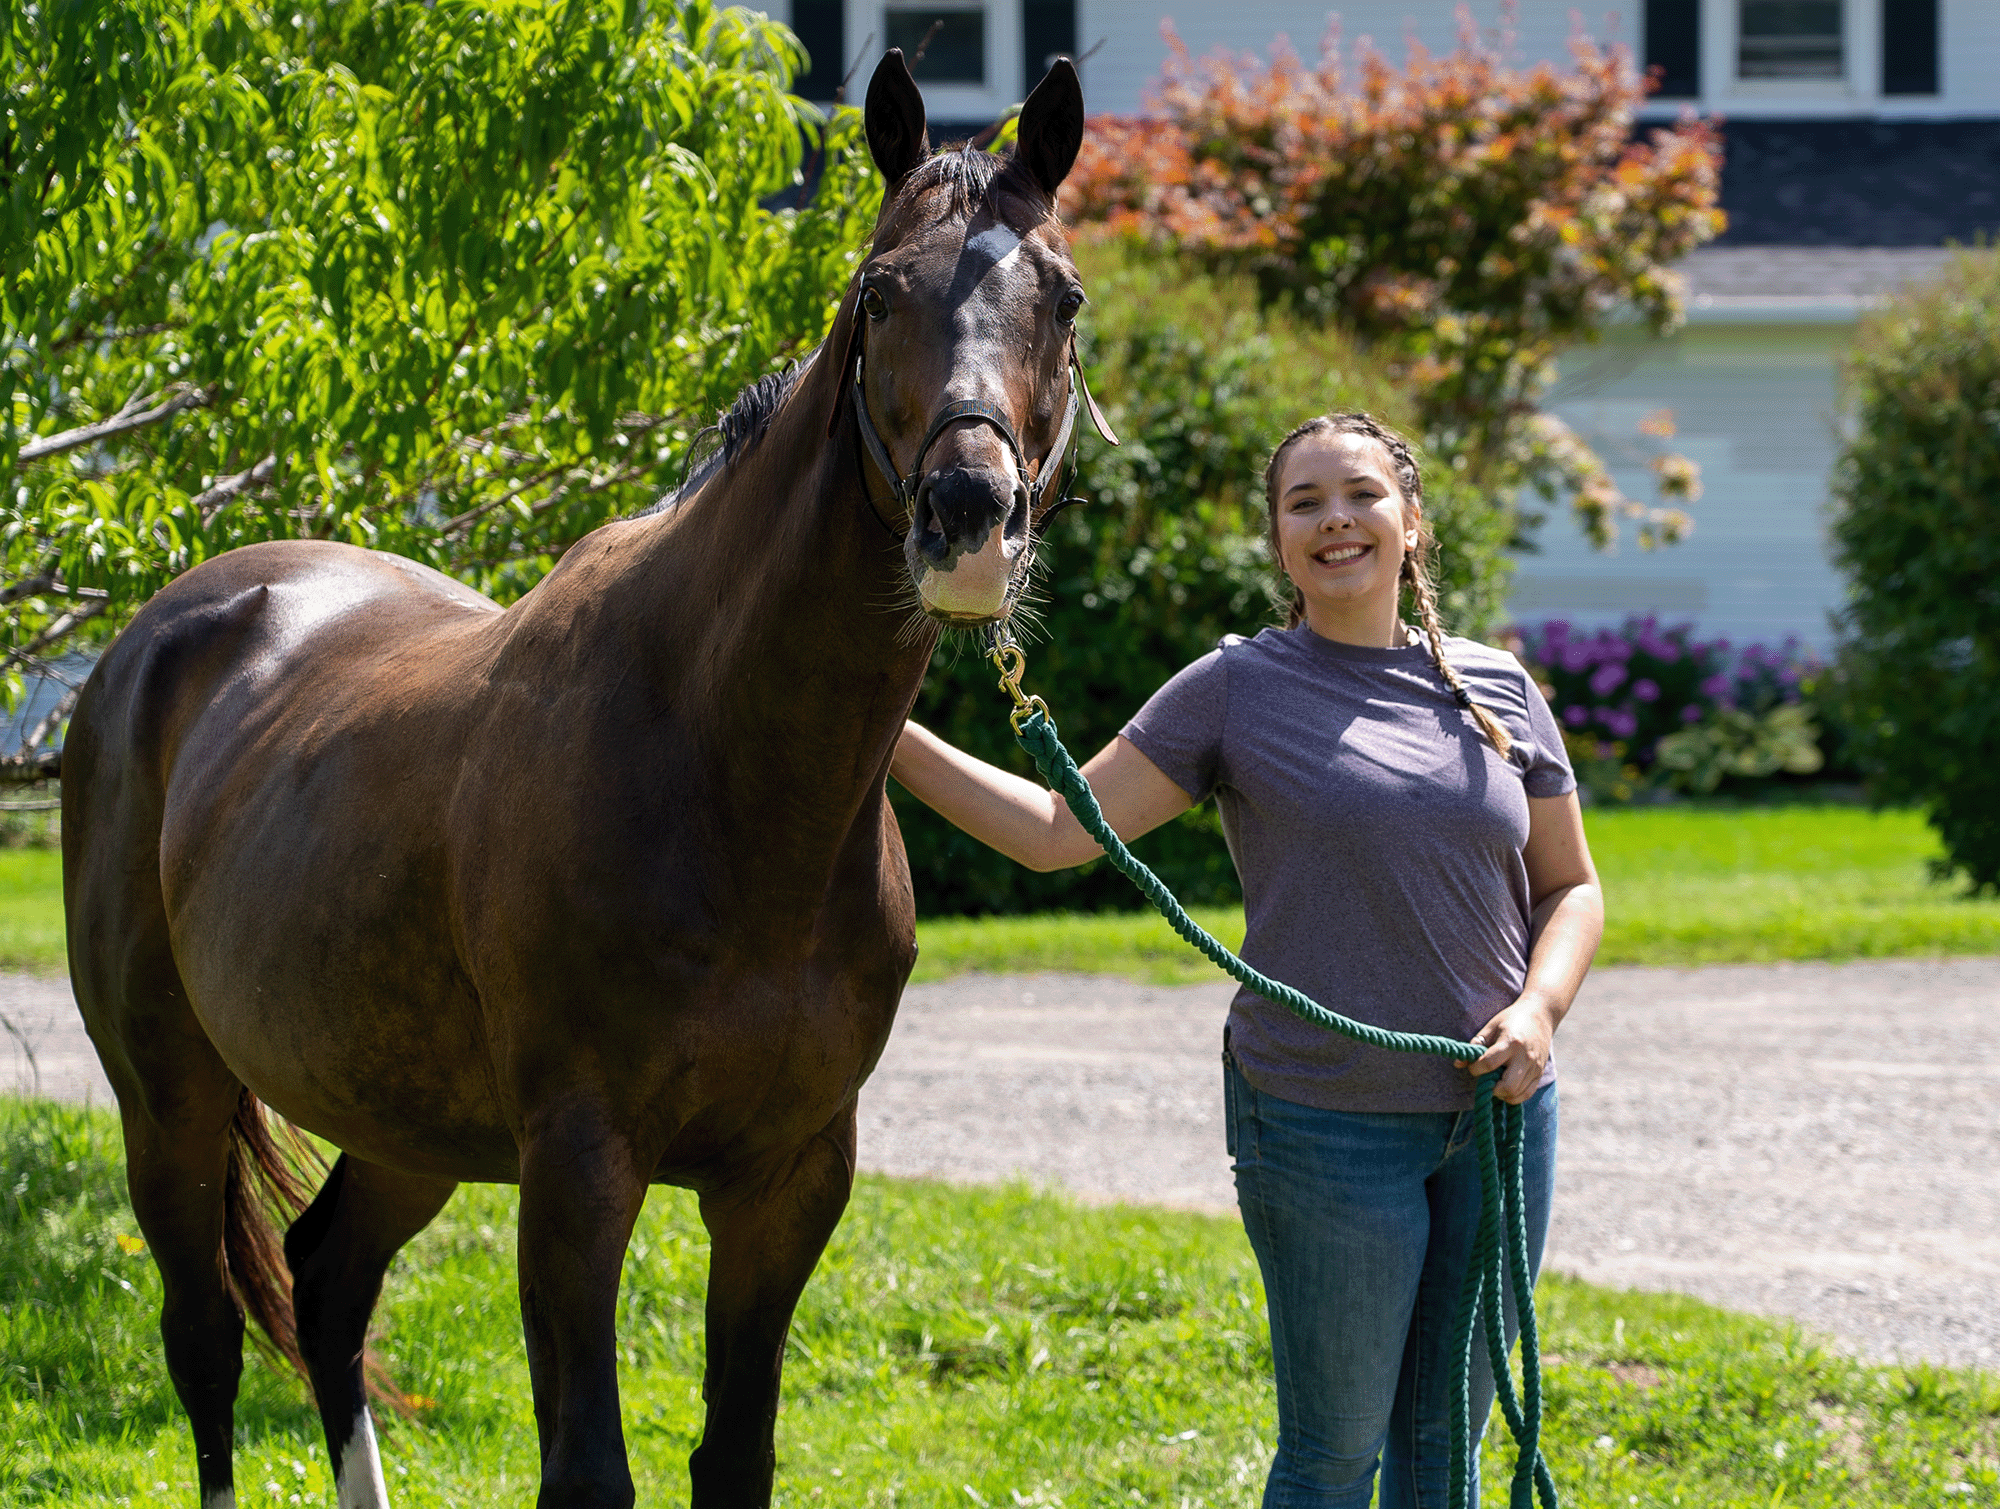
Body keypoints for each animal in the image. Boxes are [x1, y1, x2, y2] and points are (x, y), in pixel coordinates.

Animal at [58, 53, 1112, 1496]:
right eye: (876, 292)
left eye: (1062, 297)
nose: (967, 519)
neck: (732, 784)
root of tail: (151, 642)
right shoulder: (577, 1171)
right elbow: (589, 1466)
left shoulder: (786, 1184)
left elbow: (735, 1455)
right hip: (167, 1094)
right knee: (206, 1339)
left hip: (404, 1120)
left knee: (327, 1282)